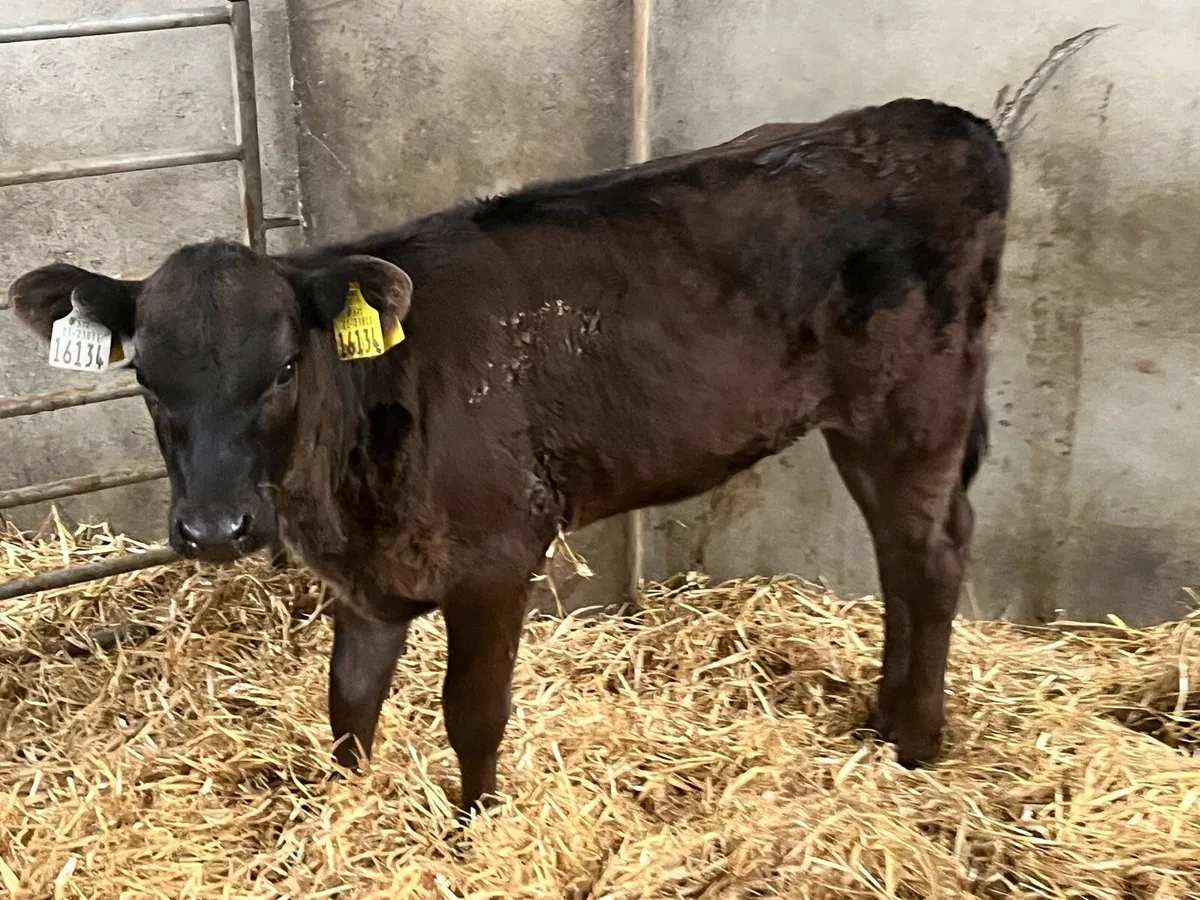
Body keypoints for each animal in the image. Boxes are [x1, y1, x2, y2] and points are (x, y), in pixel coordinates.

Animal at [7, 98, 1009, 819]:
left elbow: (472, 713)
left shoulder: (497, 558)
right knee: (901, 554)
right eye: (146, 377)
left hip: (913, 408)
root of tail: (937, 118)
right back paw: (883, 722)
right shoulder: (367, 580)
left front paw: (473, 828)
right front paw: (342, 809)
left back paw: (916, 743)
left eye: (286, 365)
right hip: (867, 424)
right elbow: (348, 705)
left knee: (932, 552)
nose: (216, 529)